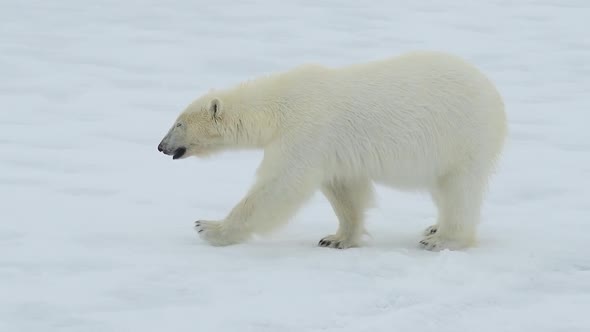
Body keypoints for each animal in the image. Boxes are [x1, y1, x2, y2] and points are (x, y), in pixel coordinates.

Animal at [157, 50, 508, 250]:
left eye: (178, 123)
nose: (161, 146)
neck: (278, 106)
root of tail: (493, 92)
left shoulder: (306, 132)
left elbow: (279, 187)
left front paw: (209, 228)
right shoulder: (331, 149)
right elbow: (345, 191)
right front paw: (337, 238)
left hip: (462, 136)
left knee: (459, 188)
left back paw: (443, 238)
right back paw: (435, 224)